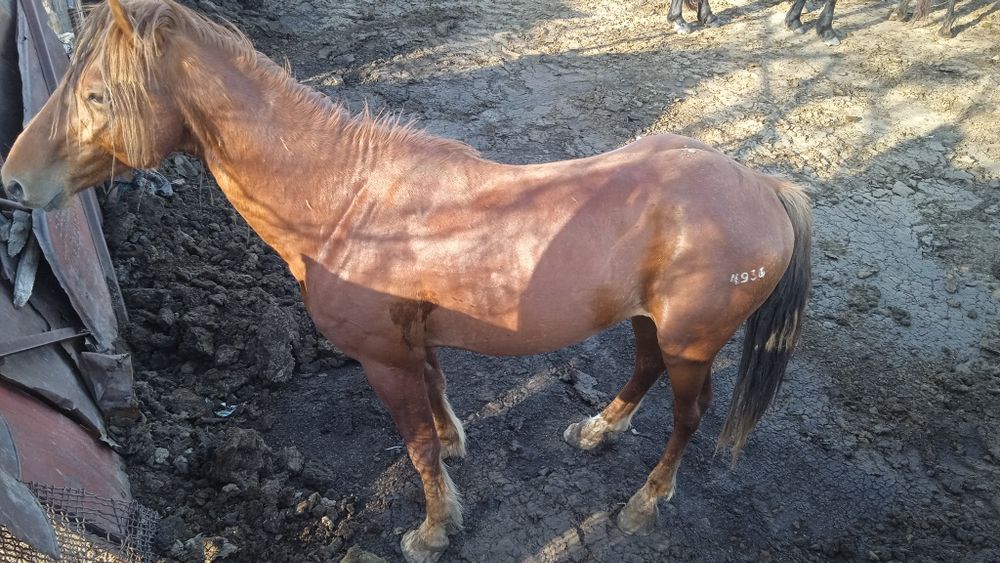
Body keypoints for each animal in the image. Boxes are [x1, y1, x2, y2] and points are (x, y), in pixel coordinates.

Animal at [0, 1, 811, 561]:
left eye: (96, 96)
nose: (14, 181)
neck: (347, 204)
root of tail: (764, 187)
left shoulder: (382, 360)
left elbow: (414, 442)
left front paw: (432, 528)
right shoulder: (413, 341)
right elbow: (438, 398)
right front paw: (455, 452)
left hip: (692, 342)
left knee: (689, 416)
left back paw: (644, 503)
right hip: (650, 322)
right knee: (642, 371)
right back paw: (598, 429)